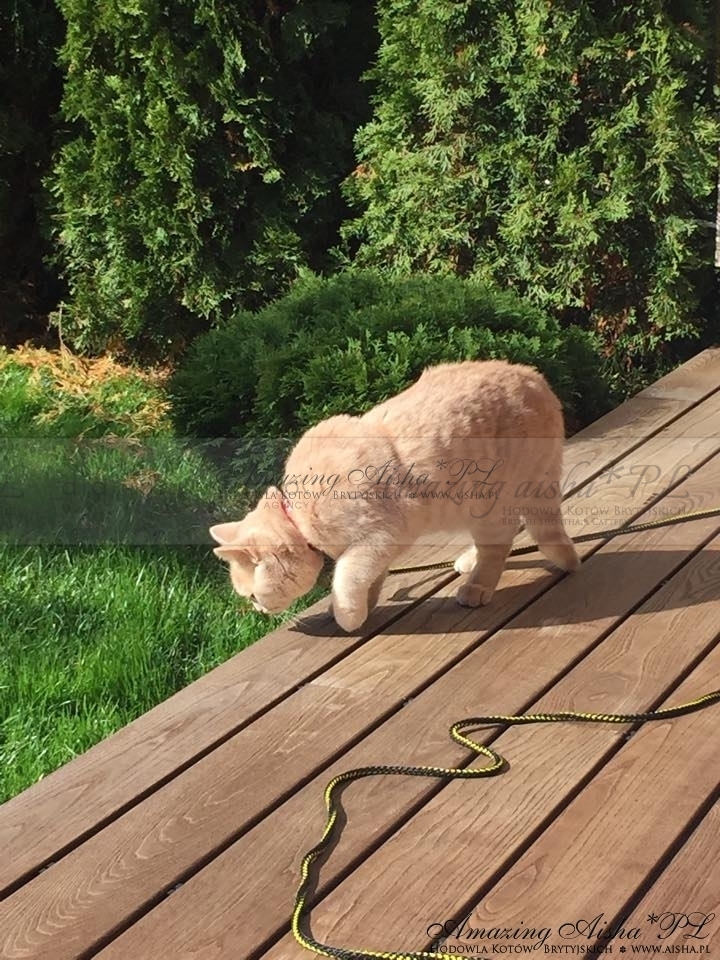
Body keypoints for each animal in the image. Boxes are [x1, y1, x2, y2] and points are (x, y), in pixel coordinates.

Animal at [210, 360, 579, 632]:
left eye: (253, 595)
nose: (259, 611)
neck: (299, 516)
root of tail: (536, 378)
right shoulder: (377, 549)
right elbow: (369, 580)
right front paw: (363, 605)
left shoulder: (378, 537)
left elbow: (346, 577)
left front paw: (348, 616)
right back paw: (469, 561)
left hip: (493, 501)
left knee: (498, 547)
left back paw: (477, 586)